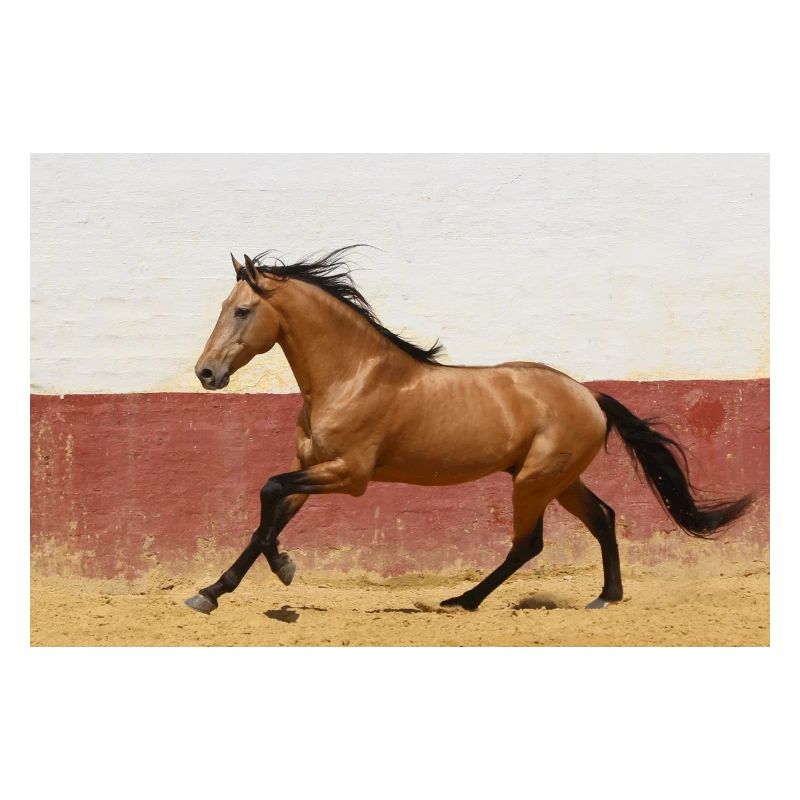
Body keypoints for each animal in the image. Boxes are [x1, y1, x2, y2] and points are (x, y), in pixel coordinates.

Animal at [185, 246, 752, 615]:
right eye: (223, 308)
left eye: (242, 310)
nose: (206, 373)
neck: (352, 375)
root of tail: (589, 395)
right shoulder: (312, 467)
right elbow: (267, 516)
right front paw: (215, 590)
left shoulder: (348, 475)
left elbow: (267, 494)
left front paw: (277, 568)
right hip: (558, 480)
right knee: (603, 518)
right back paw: (605, 598)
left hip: (534, 482)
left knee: (528, 544)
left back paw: (464, 599)